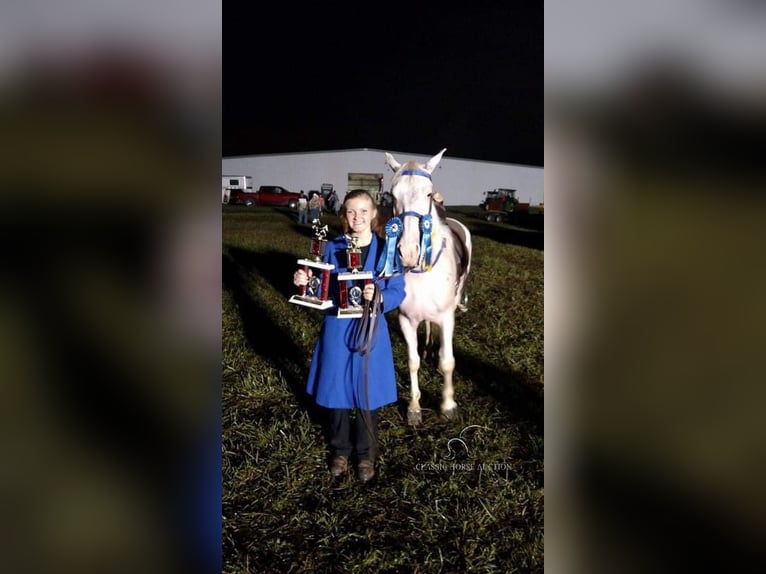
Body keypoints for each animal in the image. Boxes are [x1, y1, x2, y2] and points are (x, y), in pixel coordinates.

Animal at [388, 148, 472, 428]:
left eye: (427, 193)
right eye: (392, 195)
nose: (408, 253)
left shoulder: (446, 318)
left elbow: (448, 362)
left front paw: (447, 405)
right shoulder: (406, 319)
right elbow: (412, 361)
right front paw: (414, 407)